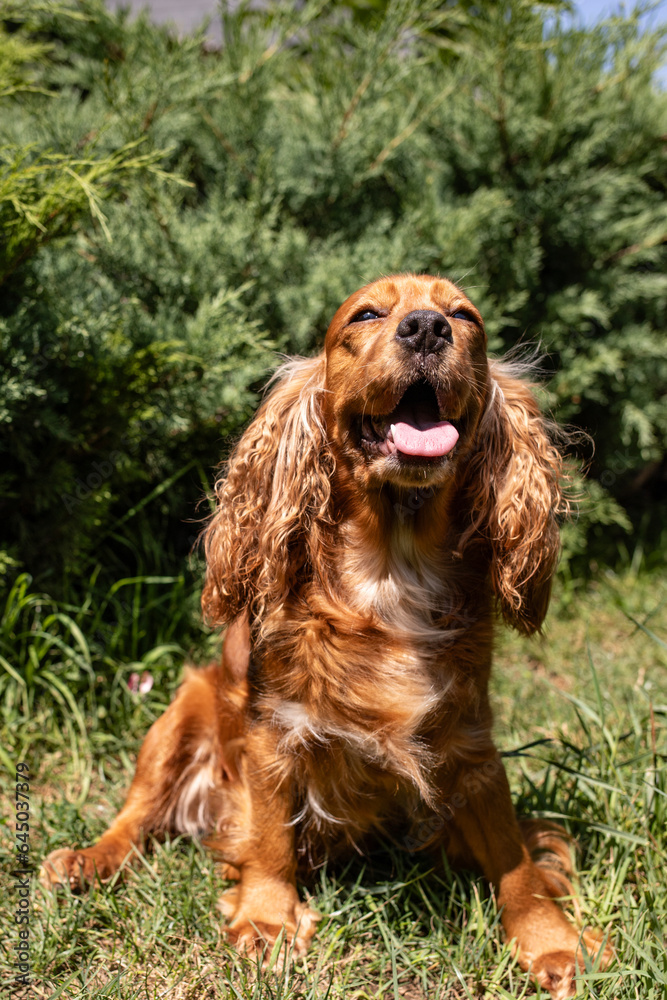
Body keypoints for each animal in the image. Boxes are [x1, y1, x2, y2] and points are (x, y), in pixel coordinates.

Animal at [43, 276, 612, 1000]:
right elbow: (268, 840)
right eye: (366, 314)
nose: (426, 328)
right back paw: (87, 860)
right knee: (137, 815)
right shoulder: (274, 731)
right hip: (176, 716)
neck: (391, 568)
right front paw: (266, 919)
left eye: (464, 317)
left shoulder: (470, 745)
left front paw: (550, 942)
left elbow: (514, 862)